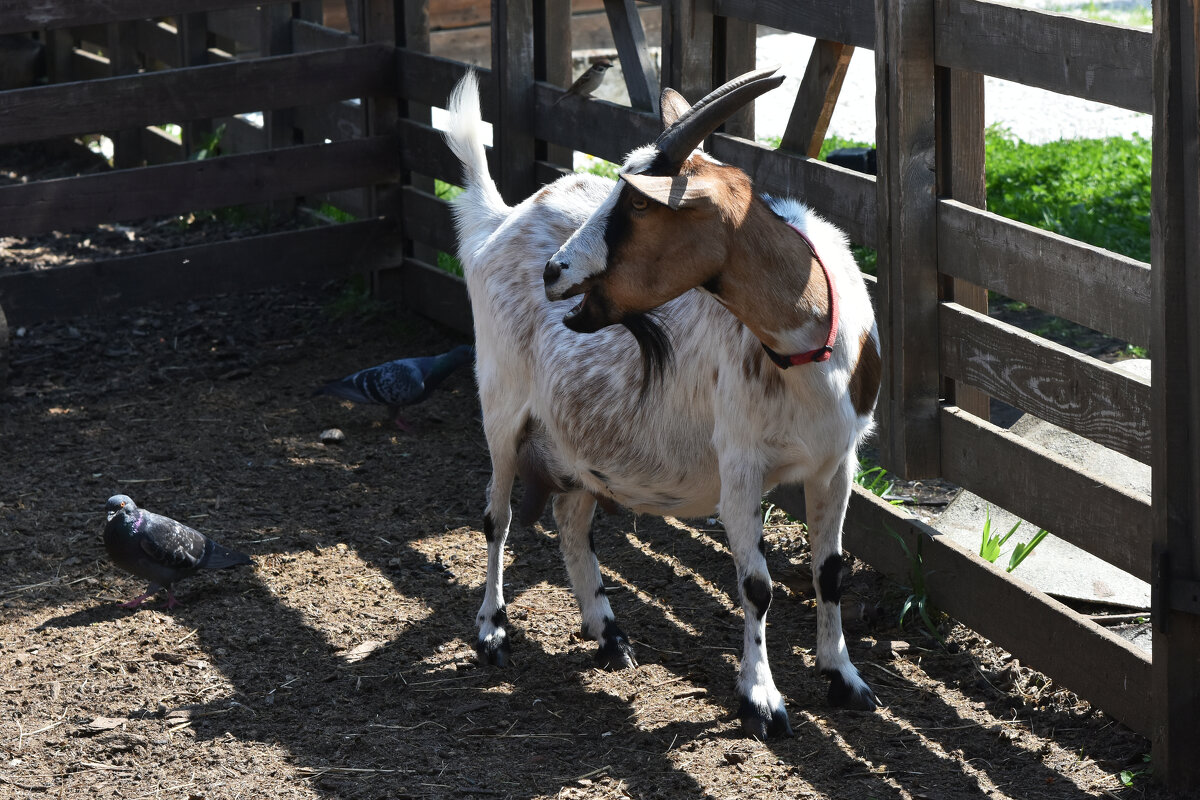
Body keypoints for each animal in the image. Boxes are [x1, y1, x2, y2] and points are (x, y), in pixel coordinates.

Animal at [446, 65, 888, 743]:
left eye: (635, 203)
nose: (554, 271)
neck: (808, 348)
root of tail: (499, 222)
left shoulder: (838, 462)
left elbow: (830, 570)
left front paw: (845, 679)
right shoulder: (740, 466)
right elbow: (757, 585)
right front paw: (761, 698)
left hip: (575, 435)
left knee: (570, 519)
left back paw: (608, 634)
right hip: (501, 401)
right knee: (497, 515)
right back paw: (493, 630)